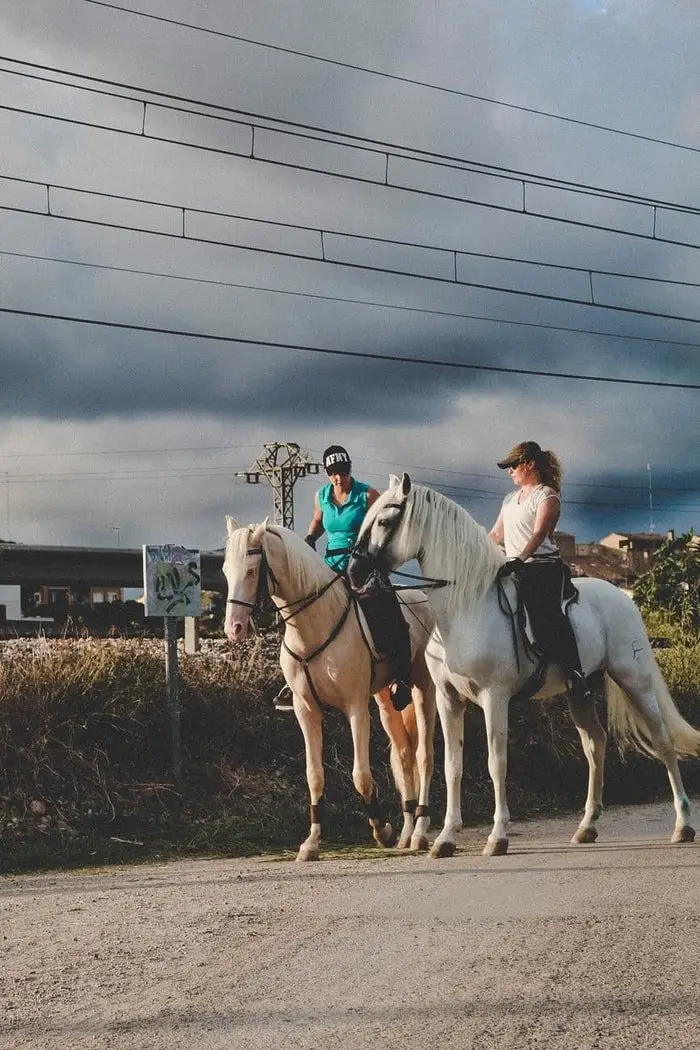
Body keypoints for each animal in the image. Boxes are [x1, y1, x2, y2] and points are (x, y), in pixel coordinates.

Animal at [223, 516, 438, 860]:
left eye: (252, 570)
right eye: (226, 570)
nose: (234, 629)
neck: (314, 624)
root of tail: (422, 599)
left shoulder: (355, 709)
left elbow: (361, 775)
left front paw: (381, 830)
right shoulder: (306, 710)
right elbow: (314, 775)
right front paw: (311, 843)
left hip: (423, 689)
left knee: (424, 755)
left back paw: (418, 832)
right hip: (386, 700)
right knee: (404, 755)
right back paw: (406, 833)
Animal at [350, 476, 700, 852]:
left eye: (385, 521)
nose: (354, 573)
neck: (465, 608)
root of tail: (623, 598)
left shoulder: (494, 698)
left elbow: (497, 762)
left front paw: (497, 836)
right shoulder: (448, 699)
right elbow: (452, 765)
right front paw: (445, 838)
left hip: (634, 679)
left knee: (662, 740)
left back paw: (682, 824)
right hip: (579, 691)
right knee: (595, 744)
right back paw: (587, 826)